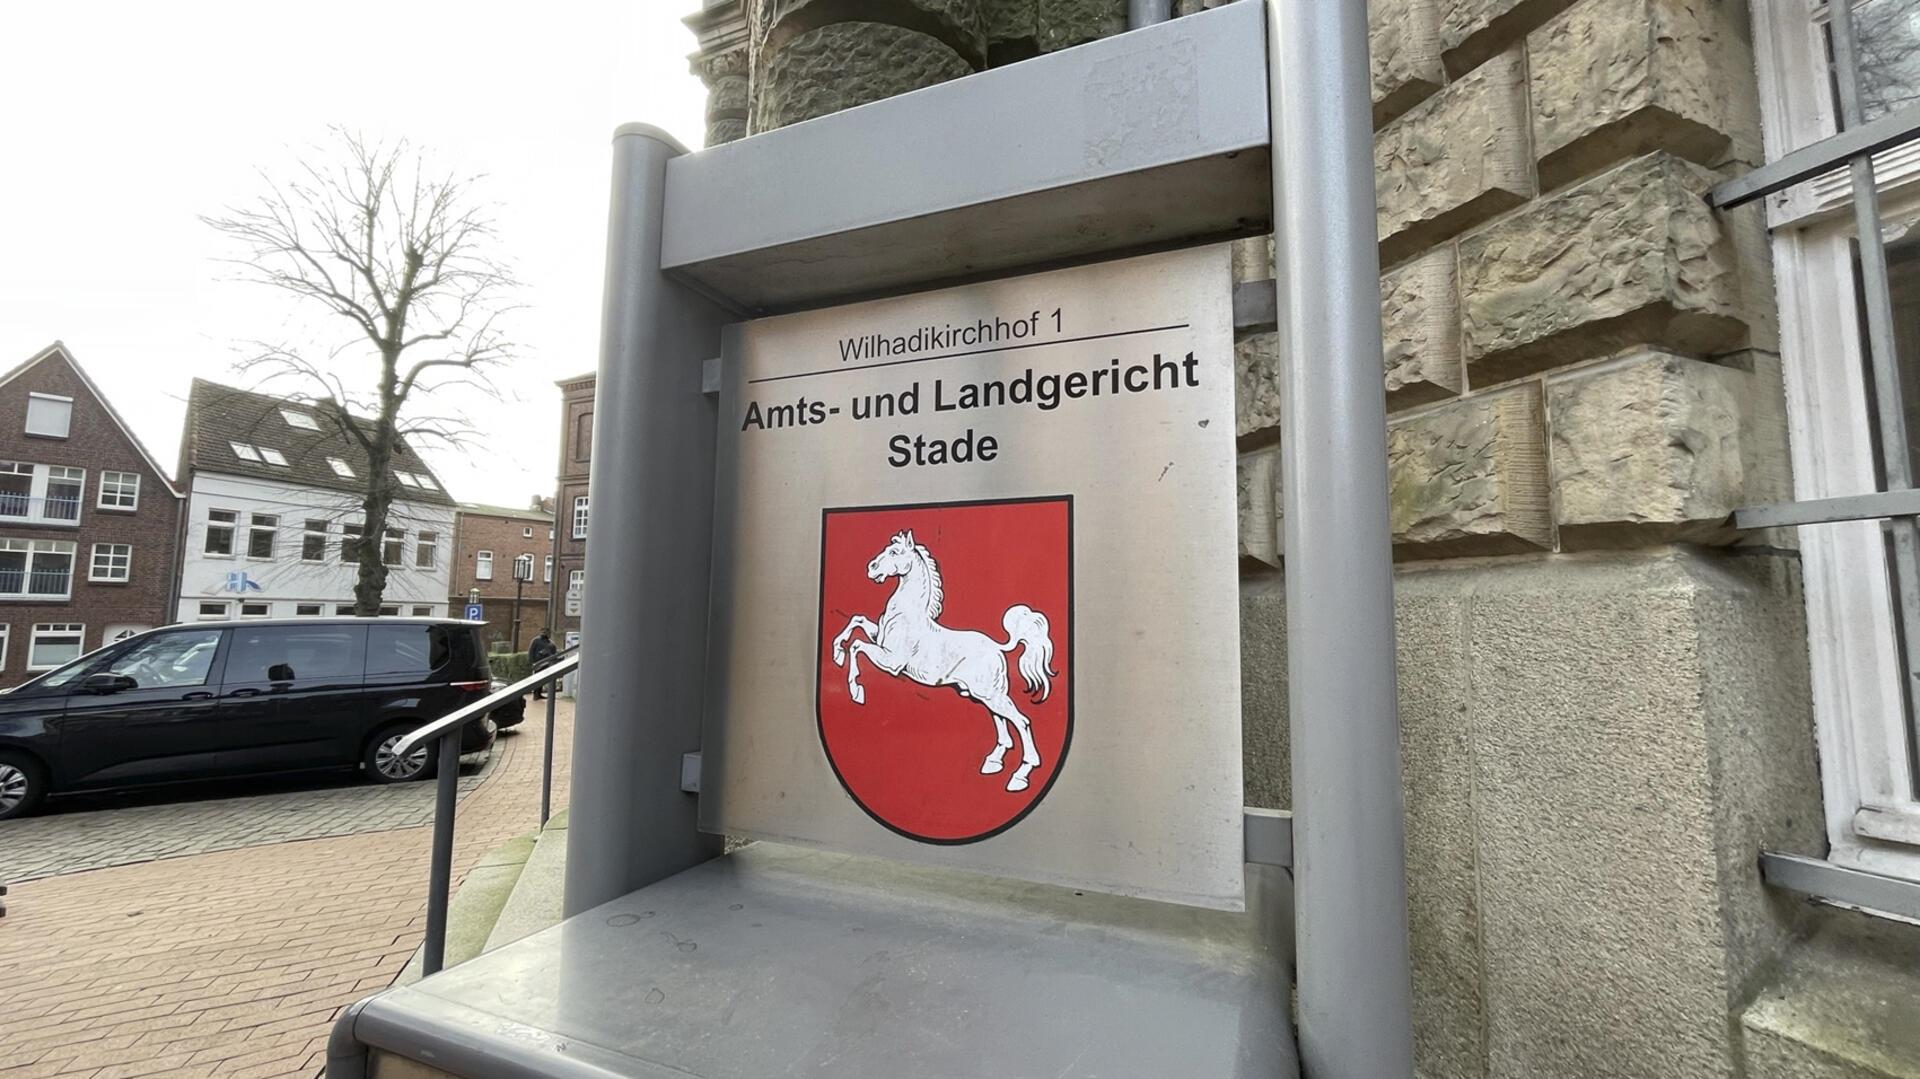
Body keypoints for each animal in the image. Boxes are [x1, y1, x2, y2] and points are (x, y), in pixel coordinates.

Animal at [833, 529, 1059, 791]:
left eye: (895, 552)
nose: (871, 568)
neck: (906, 614)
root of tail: (998, 647)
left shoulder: (892, 661)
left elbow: (857, 646)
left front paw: (856, 691)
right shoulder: (879, 640)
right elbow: (857, 621)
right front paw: (836, 653)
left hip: (991, 695)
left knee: (1021, 721)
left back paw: (1020, 776)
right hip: (986, 696)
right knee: (1003, 725)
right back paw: (992, 763)